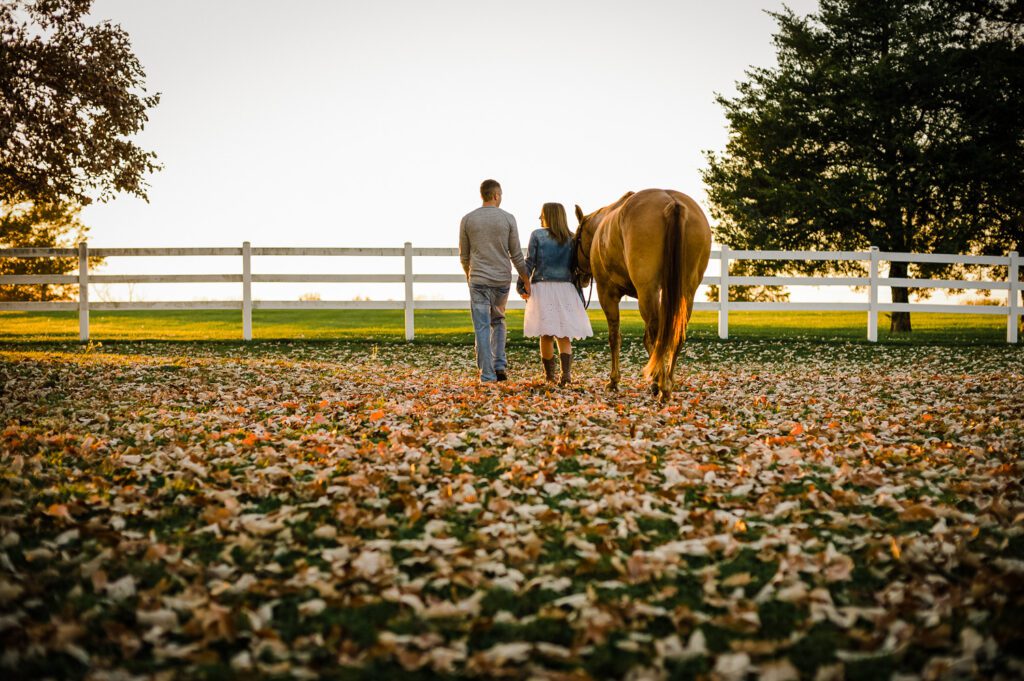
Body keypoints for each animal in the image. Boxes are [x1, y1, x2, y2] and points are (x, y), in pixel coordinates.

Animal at [573, 189, 711, 401]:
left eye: (575, 239)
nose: (579, 276)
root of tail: (673, 203)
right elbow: (647, 340)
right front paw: (653, 379)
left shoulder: (607, 293)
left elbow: (615, 337)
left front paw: (614, 381)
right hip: (685, 292)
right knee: (675, 333)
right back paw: (668, 381)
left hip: (648, 291)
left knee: (657, 333)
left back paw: (663, 386)